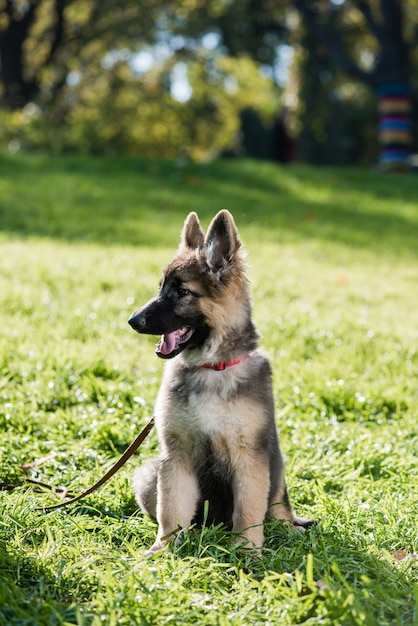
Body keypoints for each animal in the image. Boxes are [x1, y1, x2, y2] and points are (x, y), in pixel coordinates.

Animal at [129, 210, 312, 552]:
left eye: (182, 292)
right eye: (160, 288)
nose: (133, 321)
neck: (212, 368)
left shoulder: (250, 457)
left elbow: (249, 509)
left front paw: (248, 550)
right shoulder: (176, 456)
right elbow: (171, 508)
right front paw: (164, 548)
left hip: (276, 464)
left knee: (279, 503)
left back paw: (289, 528)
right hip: (149, 474)